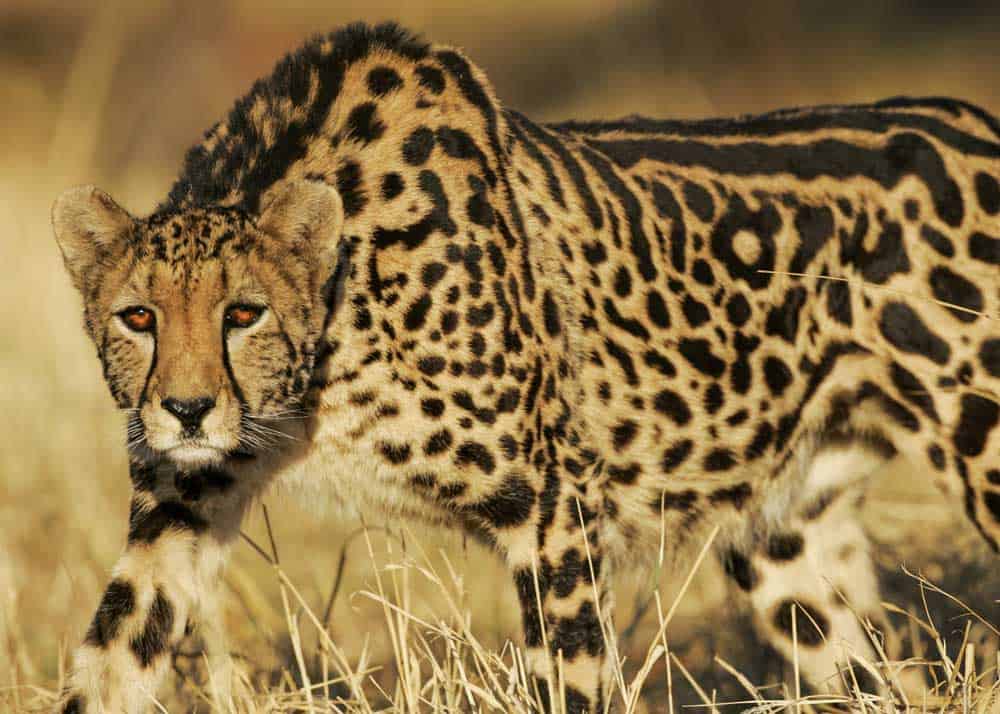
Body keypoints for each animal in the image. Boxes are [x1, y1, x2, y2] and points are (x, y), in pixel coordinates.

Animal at [51, 22, 999, 714]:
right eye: (139, 317)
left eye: (242, 314)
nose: (186, 410)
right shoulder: (178, 512)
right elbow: (109, 659)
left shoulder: (554, 505)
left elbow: (573, 682)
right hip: (785, 547)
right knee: (886, 682)